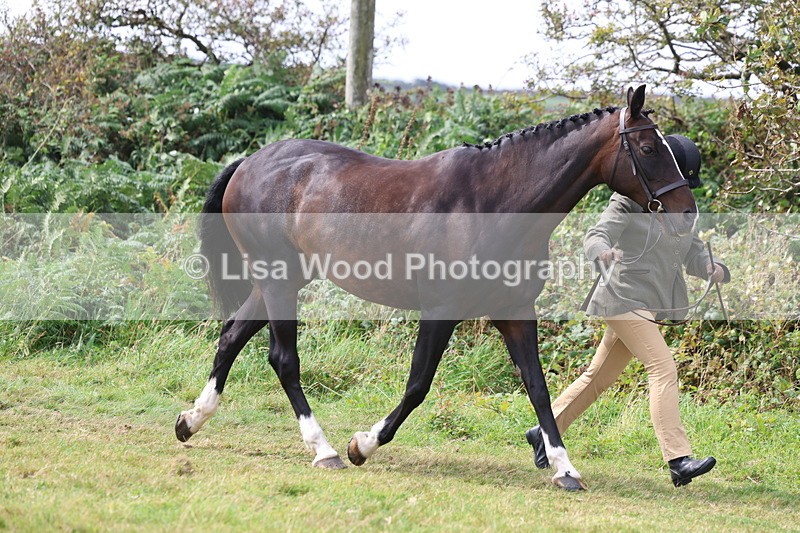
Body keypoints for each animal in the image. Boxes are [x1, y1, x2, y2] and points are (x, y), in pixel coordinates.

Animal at [174, 85, 698, 491]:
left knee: (231, 336)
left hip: (280, 279)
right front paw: (362, 444)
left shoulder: (514, 312)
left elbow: (539, 389)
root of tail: (249, 162)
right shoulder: (441, 310)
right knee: (283, 359)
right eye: (649, 149)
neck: (492, 203)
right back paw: (324, 449)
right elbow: (418, 384)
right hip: (280, 280)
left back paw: (190, 421)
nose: (686, 214)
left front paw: (565, 469)